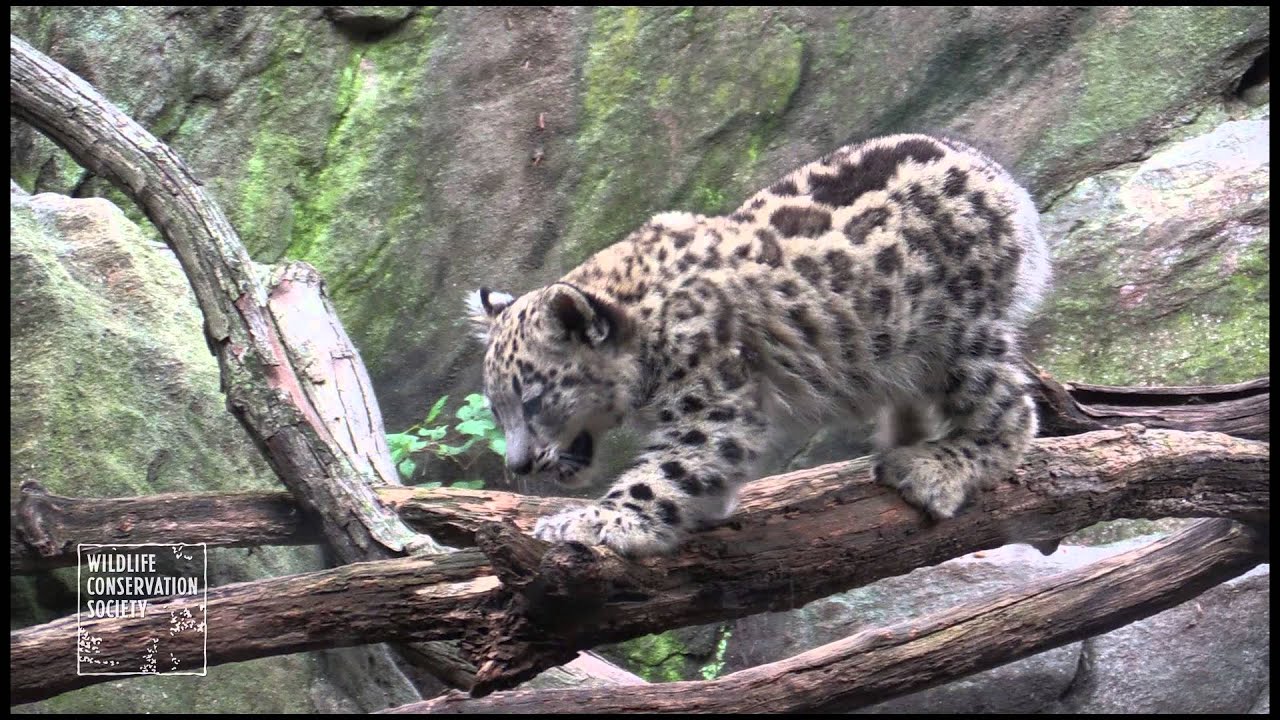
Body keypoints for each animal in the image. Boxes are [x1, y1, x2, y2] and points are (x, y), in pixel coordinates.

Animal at [466, 133, 1050, 557]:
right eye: (496, 409)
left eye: (533, 399)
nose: (519, 465)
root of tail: (1000, 177)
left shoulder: (711, 401)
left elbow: (666, 470)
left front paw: (593, 521)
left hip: (960, 337)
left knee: (1012, 411)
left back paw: (935, 468)